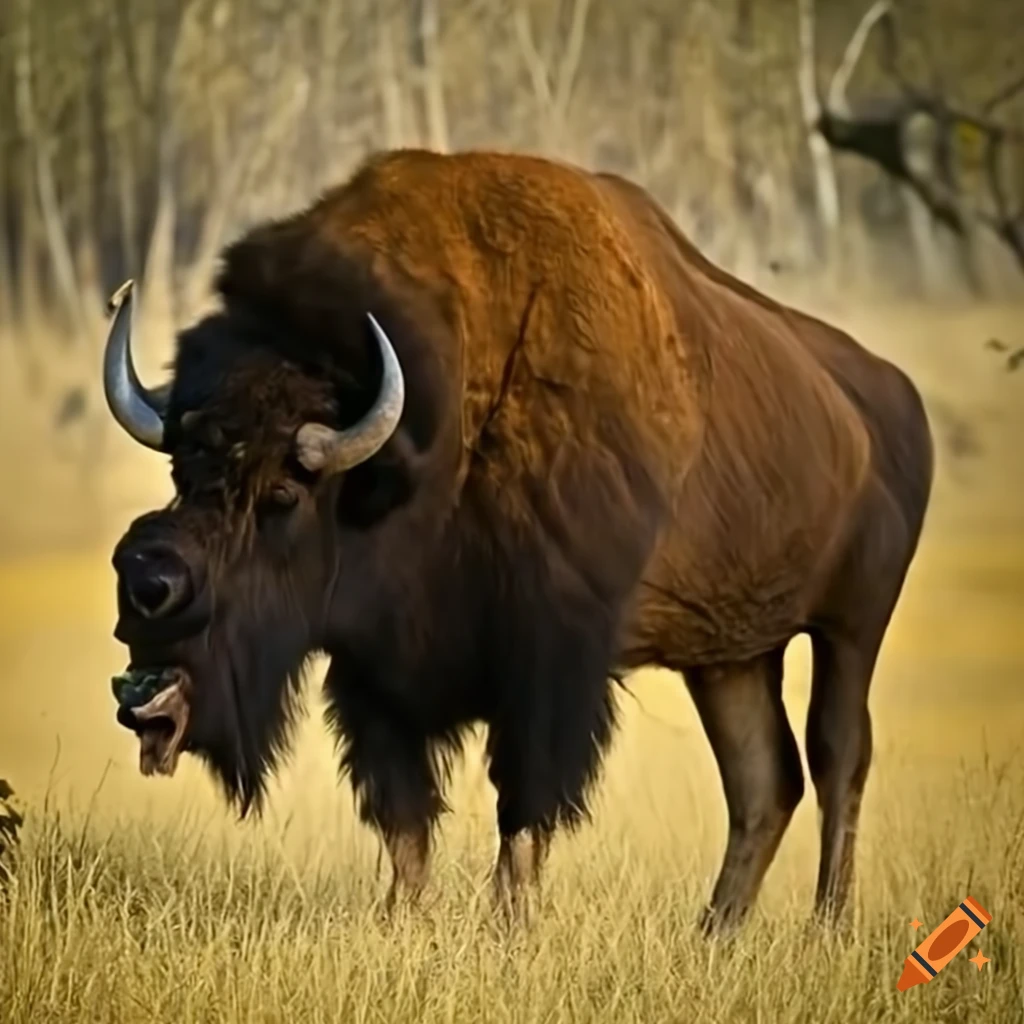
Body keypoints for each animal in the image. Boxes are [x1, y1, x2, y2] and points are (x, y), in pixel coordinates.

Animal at [104, 149, 933, 931]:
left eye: (283, 492)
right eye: (183, 468)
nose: (146, 580)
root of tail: (893, 399)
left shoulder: (548, 665)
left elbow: (524, 809)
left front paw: (508, 926)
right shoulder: (376, 680)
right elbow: (406, 823)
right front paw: (403, 921)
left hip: (853, 628)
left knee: (836, 758)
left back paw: (827, 926)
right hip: (732, 658)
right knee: (763, 780)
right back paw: (715, 933)